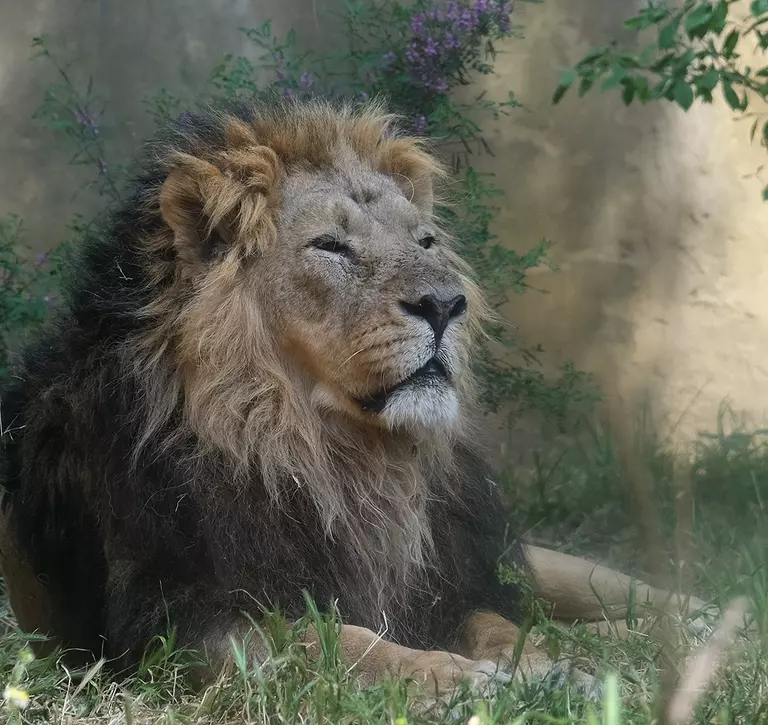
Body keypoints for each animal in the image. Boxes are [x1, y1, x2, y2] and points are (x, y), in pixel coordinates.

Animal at [0, 96, 708, 700]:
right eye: (331, 247)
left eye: (424, 242)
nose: (446, 304)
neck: (332, 456)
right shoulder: (174, 626)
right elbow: (332, 641)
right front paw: (455, 679)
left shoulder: (449, 583)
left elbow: (501, 623)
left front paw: (544, 667)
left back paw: (691, 621)